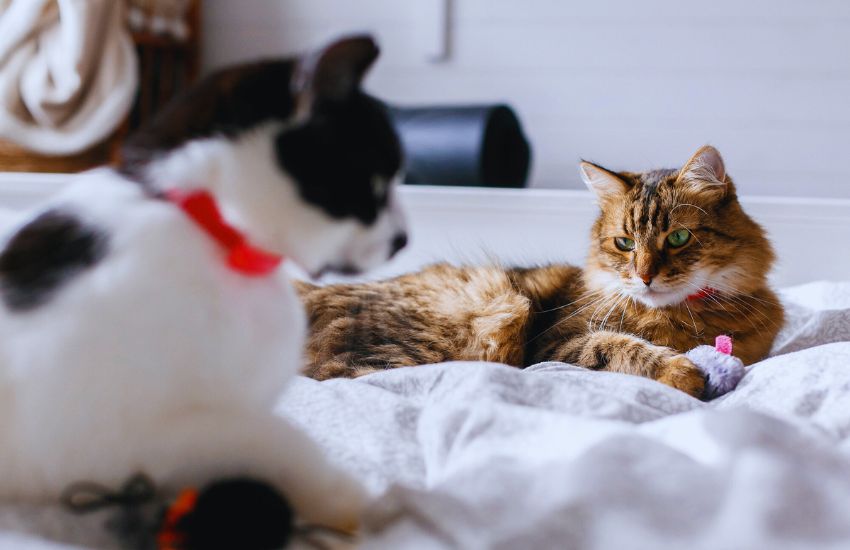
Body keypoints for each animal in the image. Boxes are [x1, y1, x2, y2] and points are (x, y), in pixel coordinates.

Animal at [296, 147, 780, 396]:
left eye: (678, 238)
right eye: (624, 244)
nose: (644, 277)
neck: (688, 317)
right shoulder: (555, 342)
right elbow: (621, 346)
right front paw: (683, 372)